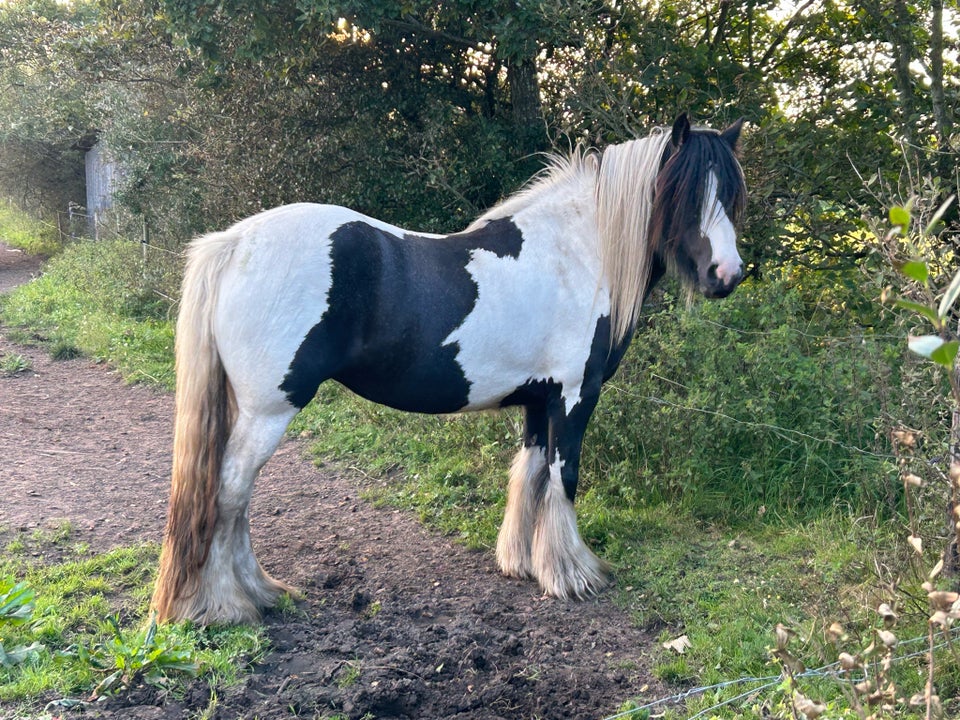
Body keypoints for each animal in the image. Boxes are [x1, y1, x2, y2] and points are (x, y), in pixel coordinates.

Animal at [152, 114, 752, 624]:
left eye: (730, 195)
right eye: (684, 193)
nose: (727, 275)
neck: (578, 253)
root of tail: (234, 243)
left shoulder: (539, 399)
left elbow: (530, 474)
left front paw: (523, 563)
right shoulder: (574, 395)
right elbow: (564, 478)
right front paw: (573, 574)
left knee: (235, 497)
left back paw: (260, 592)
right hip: (269, 409)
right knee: (230, 491)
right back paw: (229, 605)